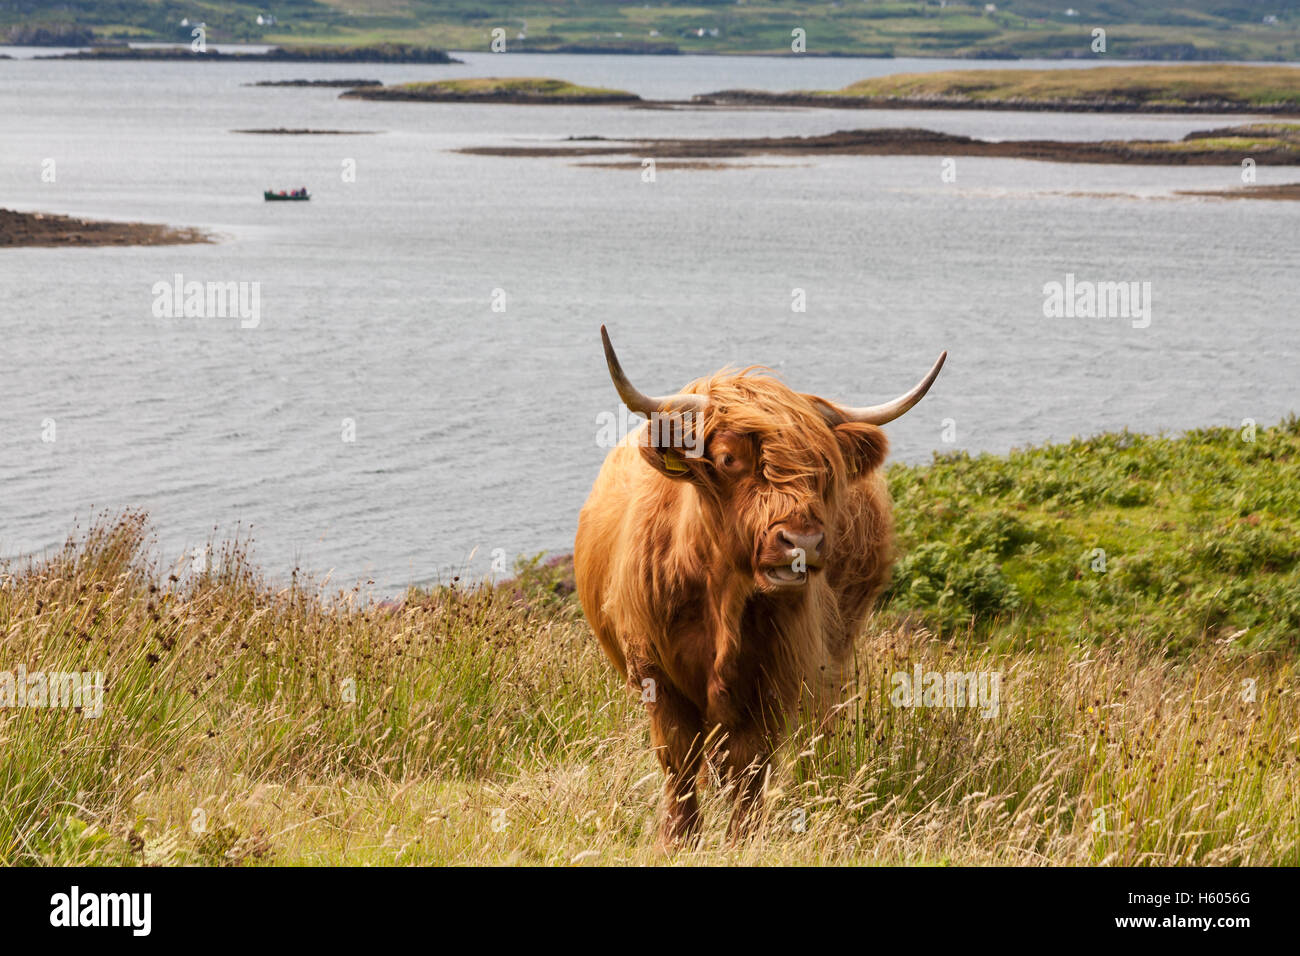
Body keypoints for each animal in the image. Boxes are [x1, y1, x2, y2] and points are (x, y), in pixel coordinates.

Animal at [574, 326, 946, 846]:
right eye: (728, 458)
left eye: (825, 469)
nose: (802, 541)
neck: (721, 595)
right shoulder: (655, 673)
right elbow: (679, 762)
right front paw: (678, 839)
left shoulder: (775, 674)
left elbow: (749, 768)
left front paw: (743, 840)